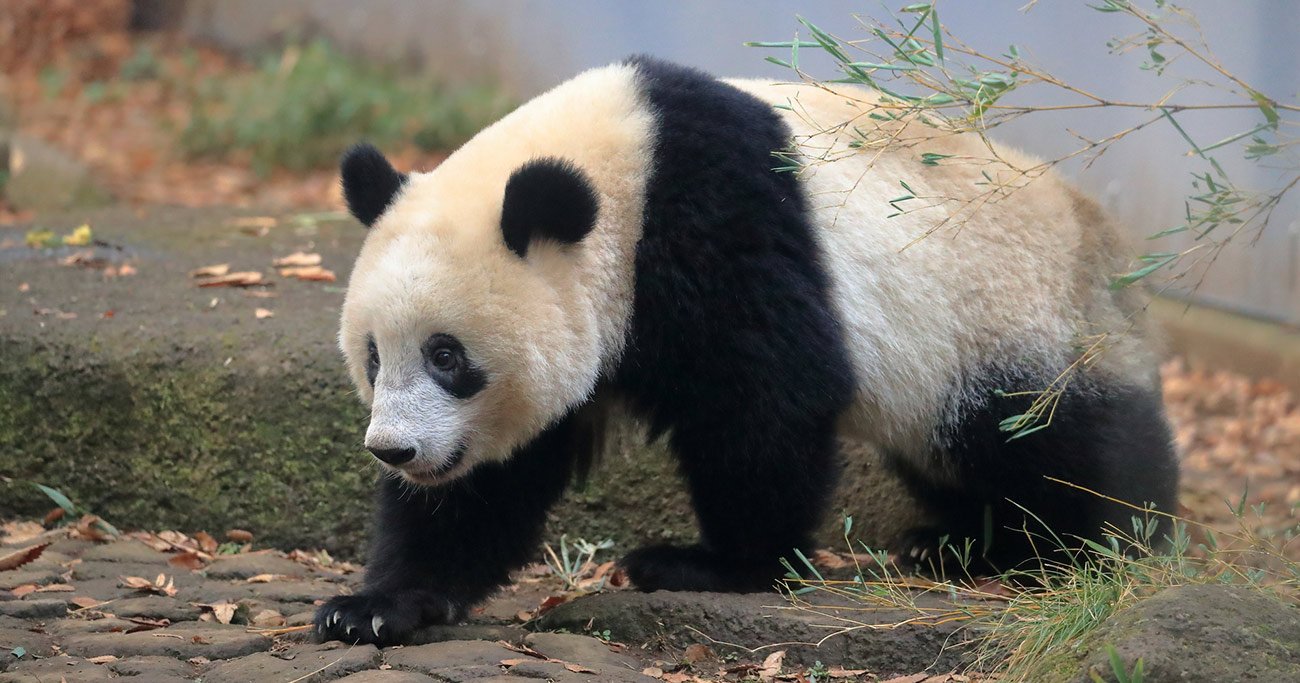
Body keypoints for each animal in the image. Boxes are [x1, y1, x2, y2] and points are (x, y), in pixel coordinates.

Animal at [314, 54, 1180, 645]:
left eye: (447, 356)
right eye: (373, 356)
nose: (395, 450)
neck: (624, 160)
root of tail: (1110, 248)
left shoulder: (717, 218)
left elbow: (763, 400)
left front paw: (712, 565)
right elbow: (491, 482)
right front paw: (373, 607)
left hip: (1011, 319)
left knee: (1054, 441)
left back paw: (1101, 544)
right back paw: (960, 544)